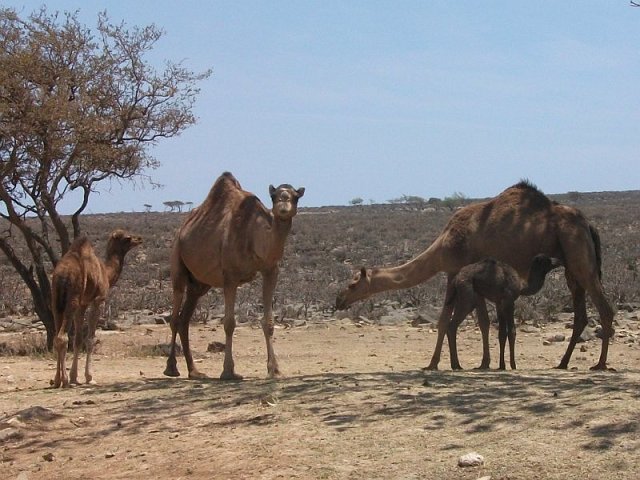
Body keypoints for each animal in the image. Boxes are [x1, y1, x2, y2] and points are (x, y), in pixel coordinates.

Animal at [51, 229, 144, 386]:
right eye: (127, 238)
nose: (139, 239)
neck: (106, 272)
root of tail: (62, 276)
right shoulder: (98, 299)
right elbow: (90, 339)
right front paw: (89, 377)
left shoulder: (83, 304)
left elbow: (78, 340)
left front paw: (74, 377)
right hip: (72, 300)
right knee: (61, 337)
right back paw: (64, 380)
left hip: (57, 302)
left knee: (57, 335)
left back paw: (57, 380)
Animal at [165, 171, 304, 380]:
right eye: (273, 196)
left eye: (296, 196)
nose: (283, 205)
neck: (253, 236)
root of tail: (182, 230)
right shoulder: (230, 276)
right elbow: (229, 323)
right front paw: (228, 371)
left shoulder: (271, 270)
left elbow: (269, 322)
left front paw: (274, 370)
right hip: (178, 263)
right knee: (175, 316)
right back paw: (171, 368)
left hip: (198, 284)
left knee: (184, 320)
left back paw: (195, 371)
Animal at [336, 180, 616, 372]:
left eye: (352, 284)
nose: (338, 301)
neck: (444, 244)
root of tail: (588, 224)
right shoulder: (473, 279)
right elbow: (480, 321)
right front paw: (483, 362)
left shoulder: (456, 270)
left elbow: (445, 320)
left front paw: (435, 363)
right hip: (569, 263)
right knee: (580, 313)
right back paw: (563, 362)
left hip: (578, 254)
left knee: (604, 307)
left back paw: (600, 364)